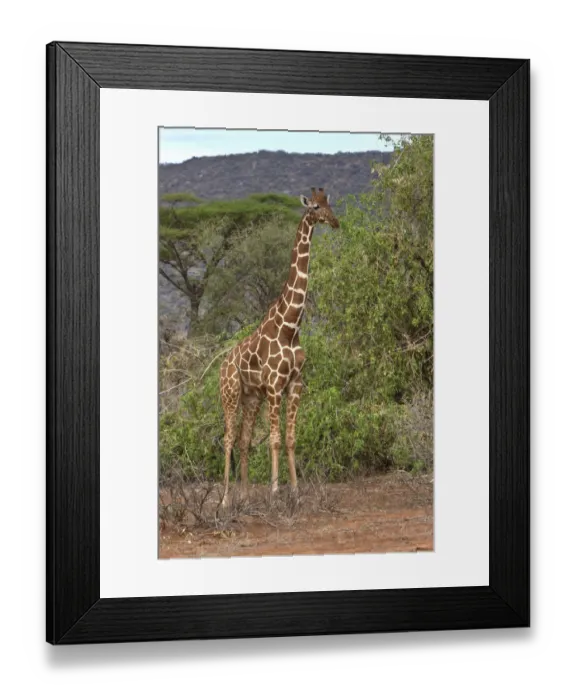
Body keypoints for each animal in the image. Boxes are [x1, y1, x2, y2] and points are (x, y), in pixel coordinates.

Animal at [219, 187, 340, 506]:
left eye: (329, 203)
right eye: (315, 207)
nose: (335, 221)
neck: (290, 326)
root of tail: (222, 366)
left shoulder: (295, 384)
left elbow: (290, 438)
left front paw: (295, 491)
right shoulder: (275, 385)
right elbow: (273, 439)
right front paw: (275, 492)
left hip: (251, 398)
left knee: (243, 440)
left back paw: (245, 496)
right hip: (230, 394)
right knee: (227, 438)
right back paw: (225, 499)